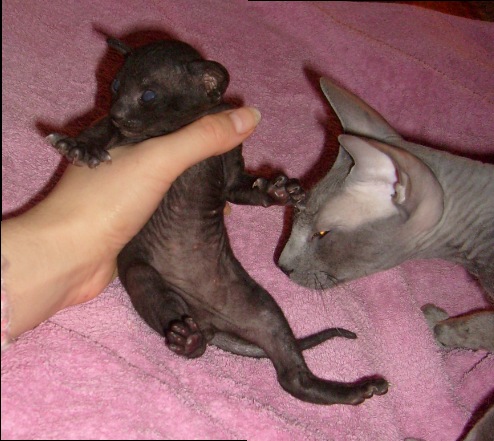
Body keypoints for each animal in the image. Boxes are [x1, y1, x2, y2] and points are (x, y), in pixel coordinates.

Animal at [47, 39, 388, 405]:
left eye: (149, 95)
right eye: (114, 86)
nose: (117, 113)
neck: (181, 127)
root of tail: (207, 320)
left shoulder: (230, 161)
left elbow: (239, 187)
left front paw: (280, 191)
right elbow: (99, 129)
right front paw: (80, 146)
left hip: (261, 306)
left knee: (292, 376)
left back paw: (357, 389)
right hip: (143, 275)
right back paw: (188, 341)